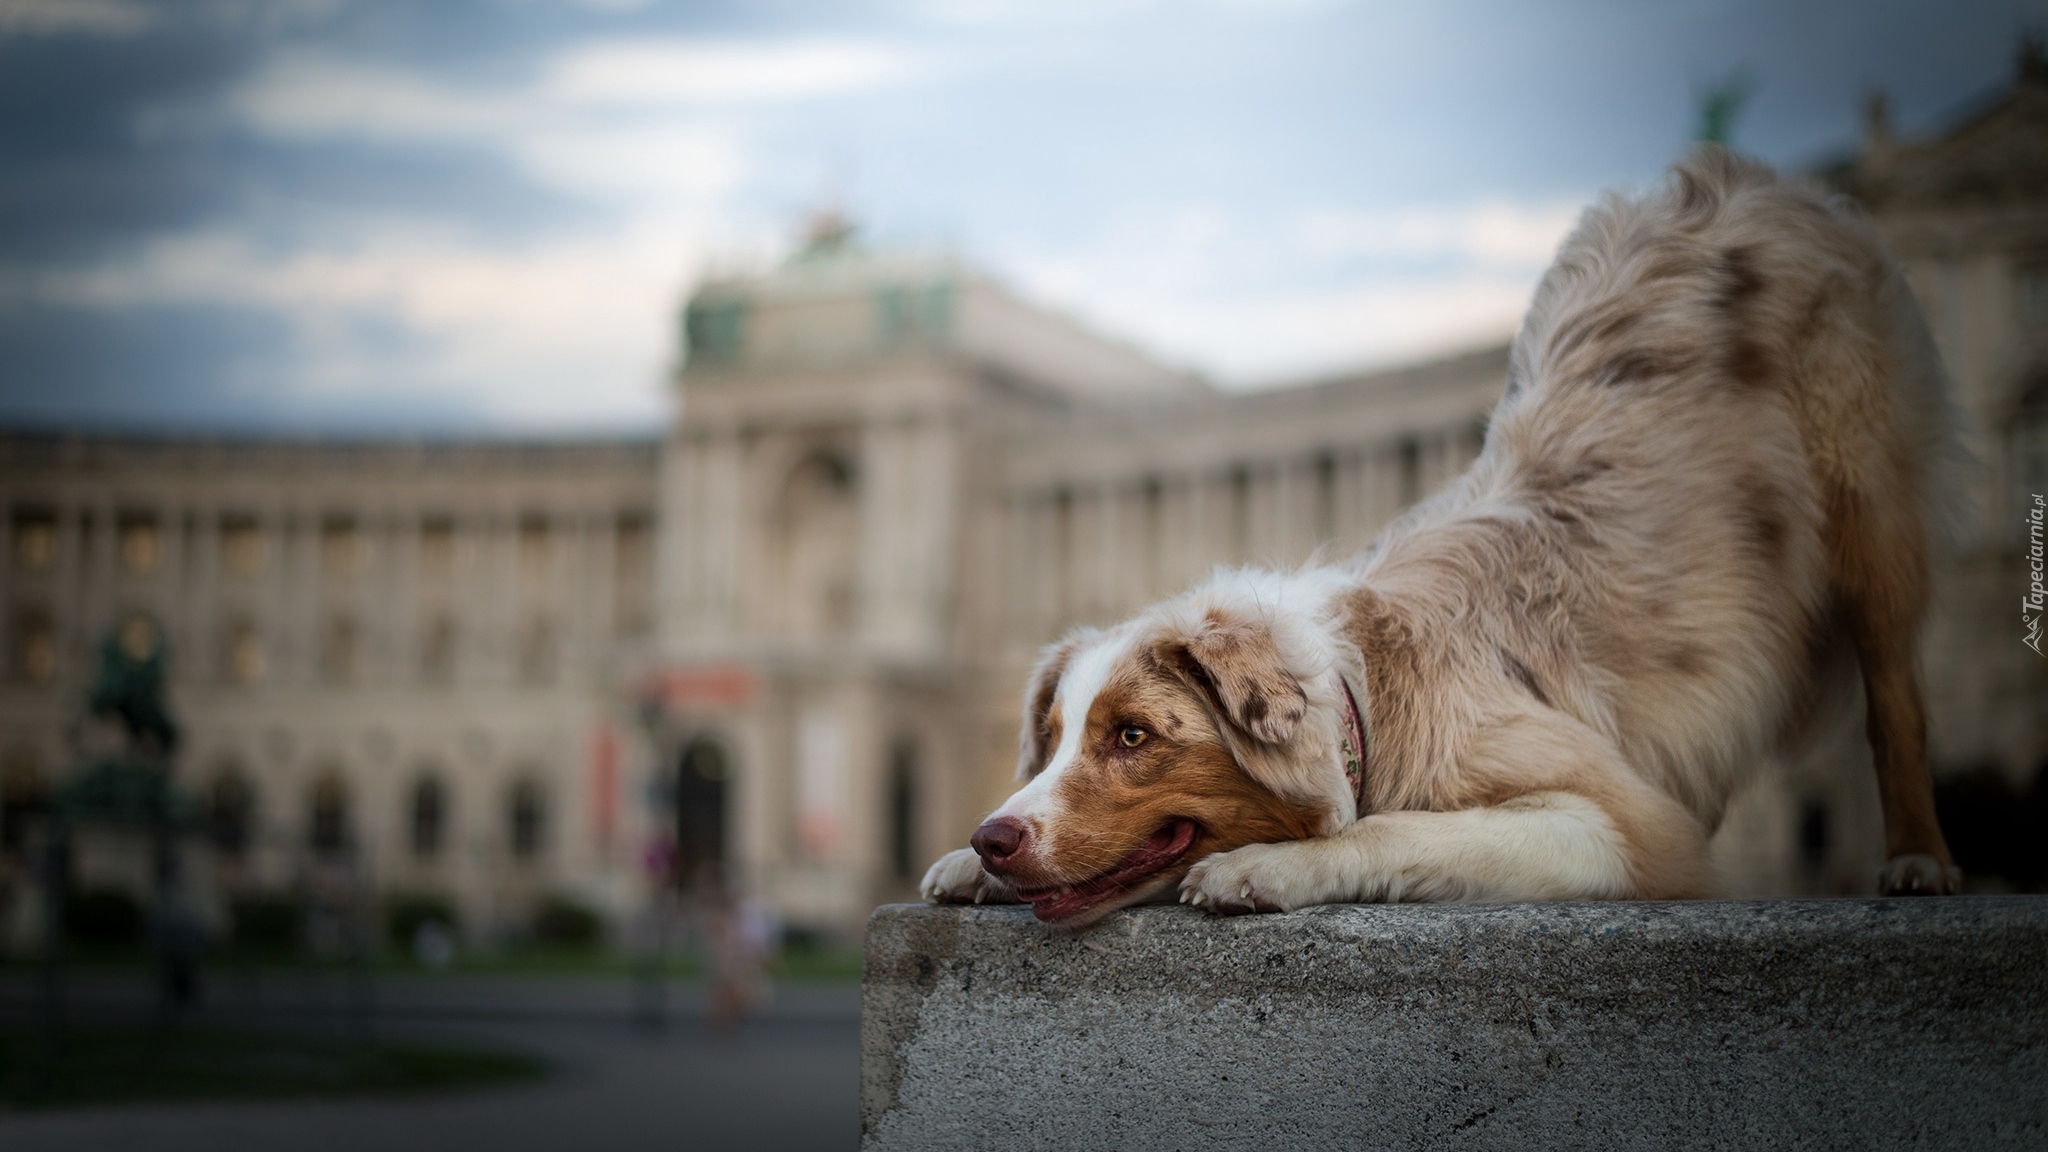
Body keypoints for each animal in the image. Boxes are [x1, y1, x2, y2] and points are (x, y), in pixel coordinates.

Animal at [921, 150, 1957, 922]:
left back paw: (1919, 862)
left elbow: (1395, 829)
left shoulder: (1628, 825)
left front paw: (1270, 866)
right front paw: (963, 869)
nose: (991, 836)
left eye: (1133, 735)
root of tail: (1732, 174)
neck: (1367, 696)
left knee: (1897, 693)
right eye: (1052, 739)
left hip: (1868, 500)